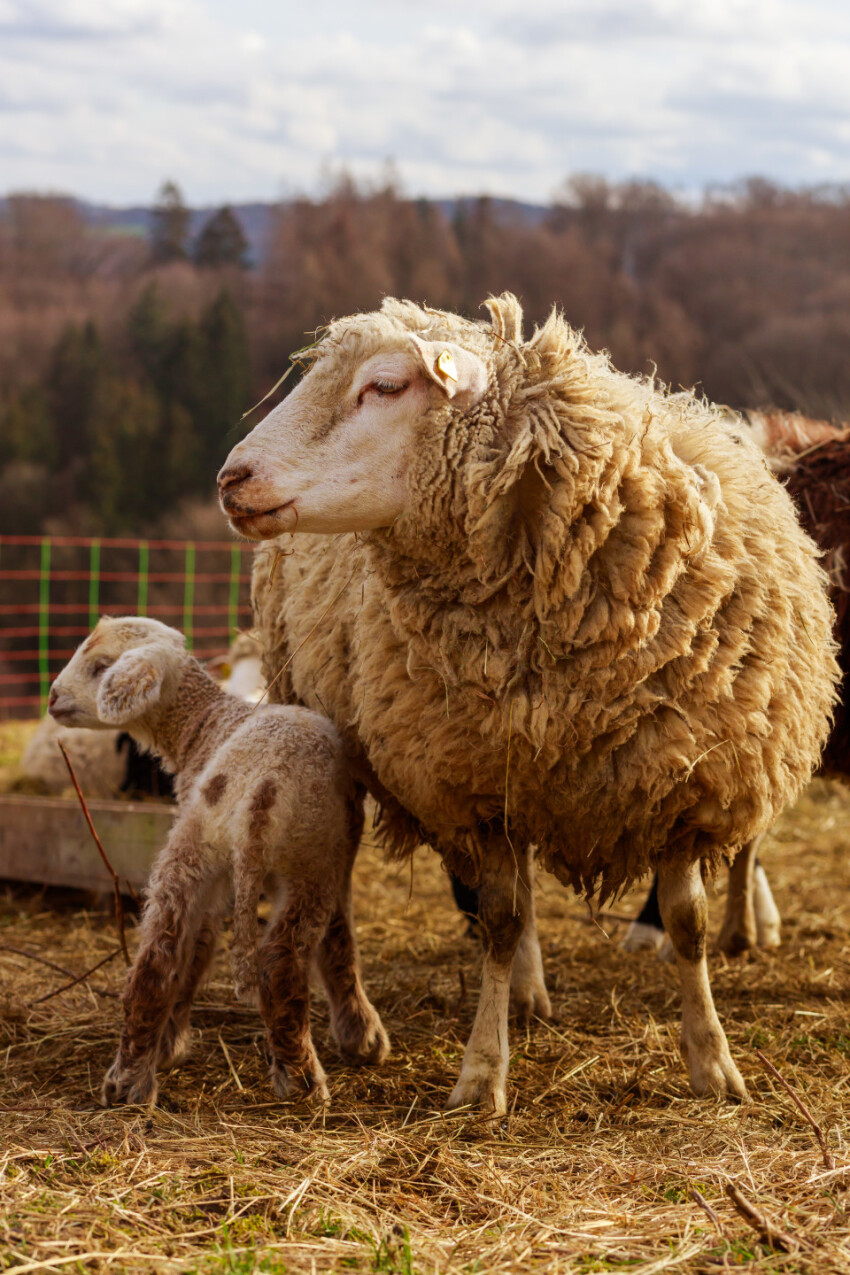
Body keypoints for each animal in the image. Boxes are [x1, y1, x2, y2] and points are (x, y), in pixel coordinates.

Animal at [48, 617, 387, 1106]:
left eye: (100, 666)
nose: (52, 698)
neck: (205, 723)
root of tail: (263, 789)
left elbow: (204, 949)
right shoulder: (335, 859)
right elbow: (337, 942)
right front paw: (360, 1035)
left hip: (195, 845)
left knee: (158, 957)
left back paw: (128, 1082)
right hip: (301, 859)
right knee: (278, 961)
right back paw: (301, 1079)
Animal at [216, 293, 835, 1111]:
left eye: (384, 386)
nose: (231, 478)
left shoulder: (679, 779)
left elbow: (688, 924)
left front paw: (712, 1062)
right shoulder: (481, 786)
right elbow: (502, 920)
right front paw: (483, 1074)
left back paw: (529, 995)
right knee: (366, 895)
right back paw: (396, 1014)